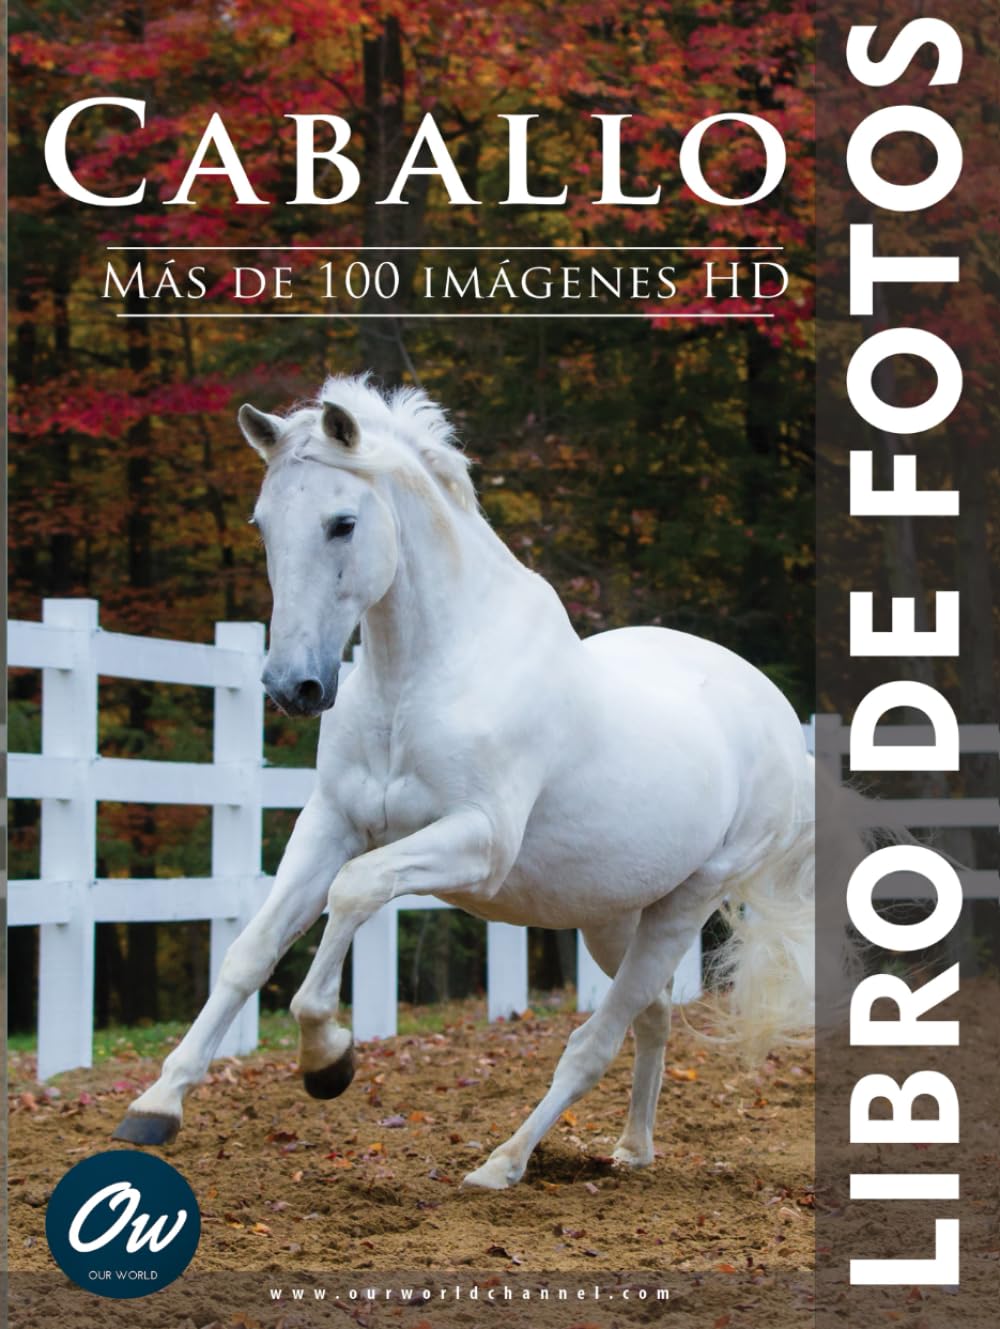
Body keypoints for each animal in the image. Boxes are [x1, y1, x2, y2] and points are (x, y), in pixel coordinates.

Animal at [114, 374, 817, 1189]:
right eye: (262, 524)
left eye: (342, 523)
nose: (293, 687)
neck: (420, 678)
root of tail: (776, 716)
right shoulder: (331, 822)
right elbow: (250, 951)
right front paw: (156, 1105)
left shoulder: (477, 843)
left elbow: (353, 891)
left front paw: (328, 1060)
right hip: (613, 915)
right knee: (652, 1018)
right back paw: (632, 1150)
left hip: (685, 904)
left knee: (594, 1042)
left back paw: (502, 1163)